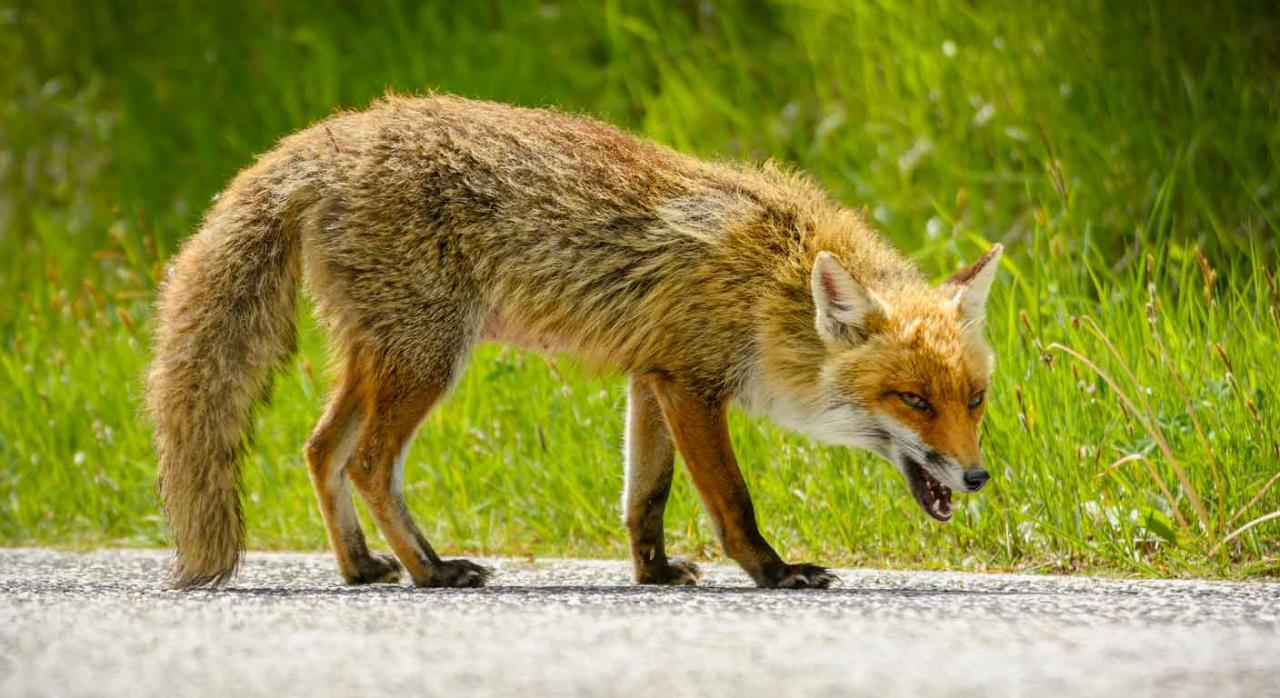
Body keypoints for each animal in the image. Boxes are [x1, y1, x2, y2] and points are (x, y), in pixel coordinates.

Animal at [147, 94, 998, 589]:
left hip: (384, 355)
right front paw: (773, 571)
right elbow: (731, 499)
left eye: (975, 400)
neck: (770, 283)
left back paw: (360, 568)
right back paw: (431, 571)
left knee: (321, 450)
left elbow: (644, 498)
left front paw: (653, 573)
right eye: (912, 400)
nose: (978, 476)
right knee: (367, 463)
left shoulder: (652, 379)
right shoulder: (693, 386)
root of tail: (332, 136)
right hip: (427, 359)